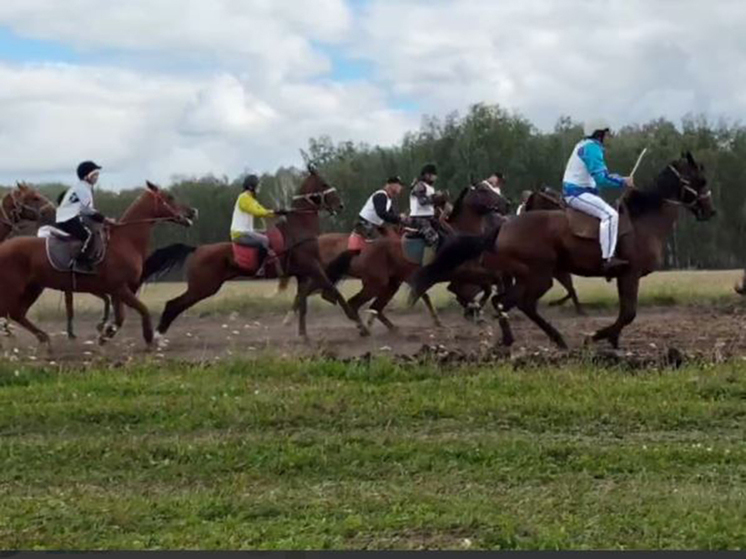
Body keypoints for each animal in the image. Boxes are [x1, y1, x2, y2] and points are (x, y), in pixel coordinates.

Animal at [0, 182, 196, 346]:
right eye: (170, 197)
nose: (193, 211)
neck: (125, 241)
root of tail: (3, 247)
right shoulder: (120, 288)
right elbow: (142, 309)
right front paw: (148, 338)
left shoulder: (117, 291)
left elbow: (120, 318)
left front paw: (105, 335)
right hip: (16, 288)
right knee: (11, 312)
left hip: (33, 288)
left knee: (16, 313)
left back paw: (44, 339)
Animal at [144, 166, 368, 342]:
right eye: (323, 183)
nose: (340, 205)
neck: (299, 231)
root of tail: (197, 249)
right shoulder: (313, 268)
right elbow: (335, 292)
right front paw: (361, 326)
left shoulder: (303, 274)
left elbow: (302, 303)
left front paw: (303, 334)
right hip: (203, 286)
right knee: (173, 304)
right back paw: (158, 336)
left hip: (203, 287)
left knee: (175, 304)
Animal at [324, 184, 506, 332]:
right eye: (483, 190)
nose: (506, 203)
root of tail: (359, 250)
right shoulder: (460, 274)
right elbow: (485, 285)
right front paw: (476, 312)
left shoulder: (460, 276)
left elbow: (486, 287)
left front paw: (476, 312)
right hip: (376, 283)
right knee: (354, 304)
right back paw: (364, 330)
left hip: (390, 284)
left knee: (375, 307)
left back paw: (388, 328)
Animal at [410, 153, 712, 350]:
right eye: (700, 179)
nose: (710, 211)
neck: (643, 220)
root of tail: (503, 227)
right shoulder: (630, 273)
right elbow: (628, 313)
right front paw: (597, 336)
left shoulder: (623, 275)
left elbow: (624, 311)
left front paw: (611, 338)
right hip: (538, 275)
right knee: (517, 302)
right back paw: (551, 338)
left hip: (529, 276)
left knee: (503, 301)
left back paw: (517, 337)